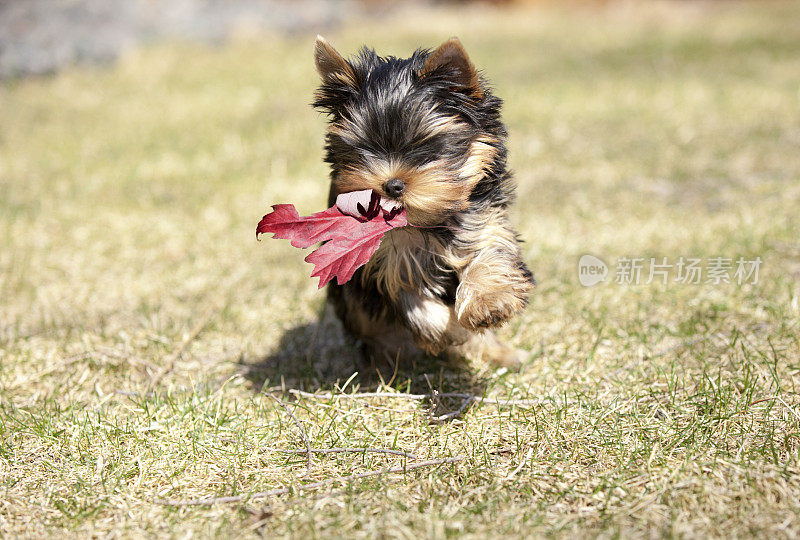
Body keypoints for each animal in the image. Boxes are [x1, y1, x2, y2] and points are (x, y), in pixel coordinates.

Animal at [316, 35, 536, 368]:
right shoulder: (383, 260)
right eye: (362, 149)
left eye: (426, 146)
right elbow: (412, 303)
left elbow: (489, 254)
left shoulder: (484, 220)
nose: (391, 185)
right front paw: (454, 332)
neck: (428, 219)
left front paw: (489, 302)